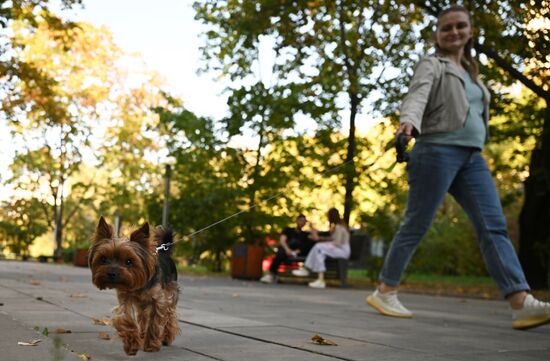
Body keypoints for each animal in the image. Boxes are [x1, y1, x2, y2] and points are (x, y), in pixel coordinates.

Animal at [87, 217, 180, 354]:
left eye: (129, 261)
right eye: (103, 259)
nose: (111, 273)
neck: (139, 285)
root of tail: (165, 252)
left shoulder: (159, 300)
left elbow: (155, 322)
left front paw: (151, 345)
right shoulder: (125, 297)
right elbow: (125, 318)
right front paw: (132, 343)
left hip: (171, 292)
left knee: (170, 315)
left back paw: (166, 337)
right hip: (142, 305)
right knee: (143, 317)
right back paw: (141, 334)